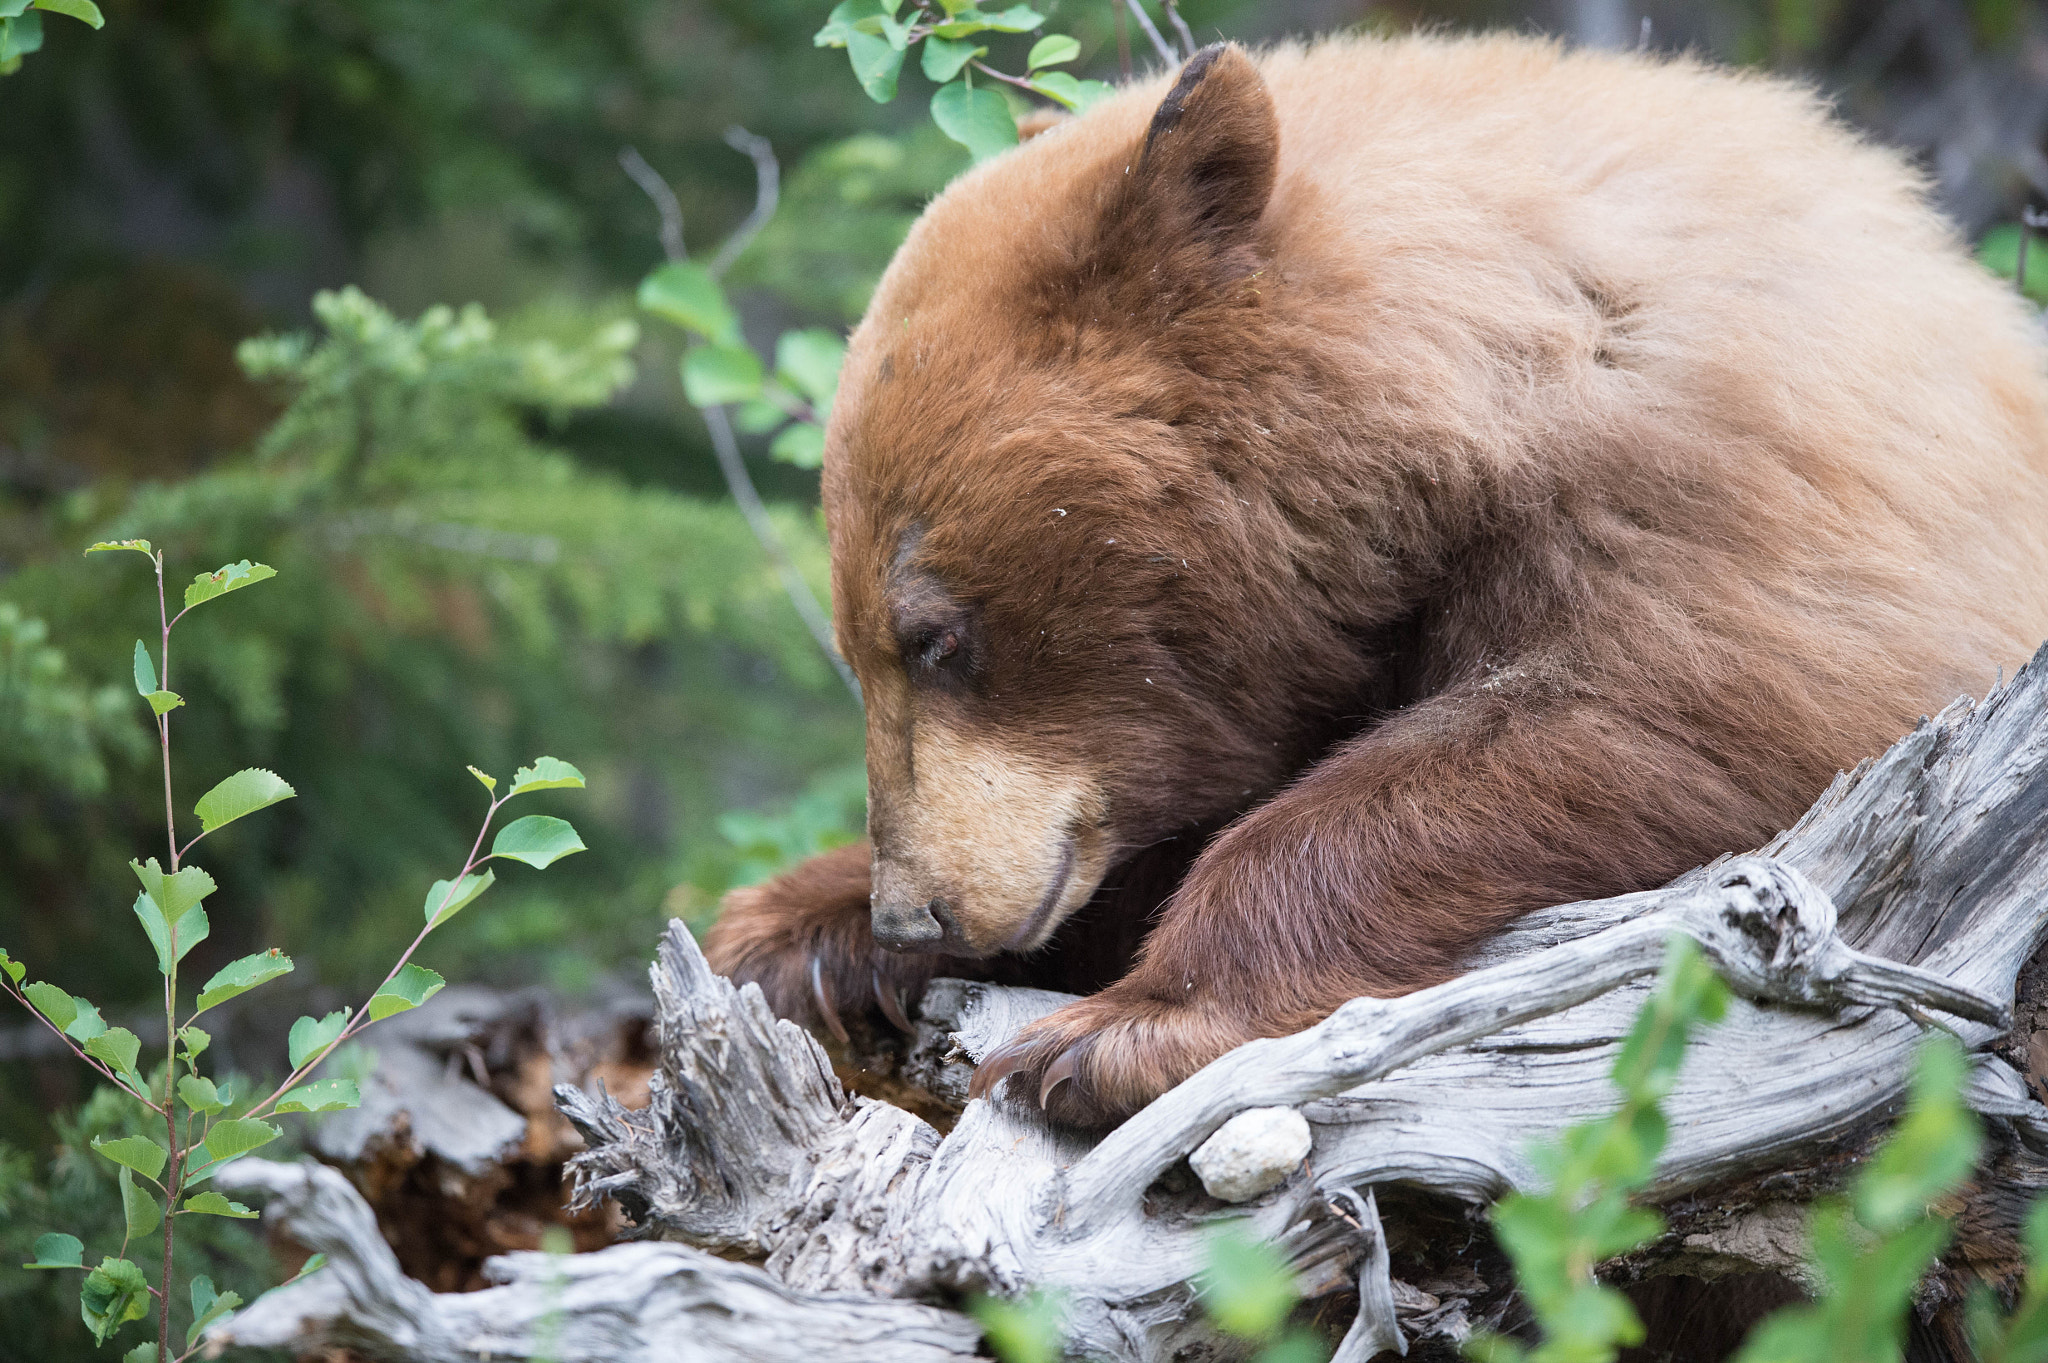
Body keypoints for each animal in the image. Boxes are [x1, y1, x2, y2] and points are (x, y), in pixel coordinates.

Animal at [700, 31, 2048, 1121]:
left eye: (934, 634)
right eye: (856, 642)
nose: (912, 910)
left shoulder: (1741, 499)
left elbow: (1659, 717)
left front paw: (1116, 1033)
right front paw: (791, 927)